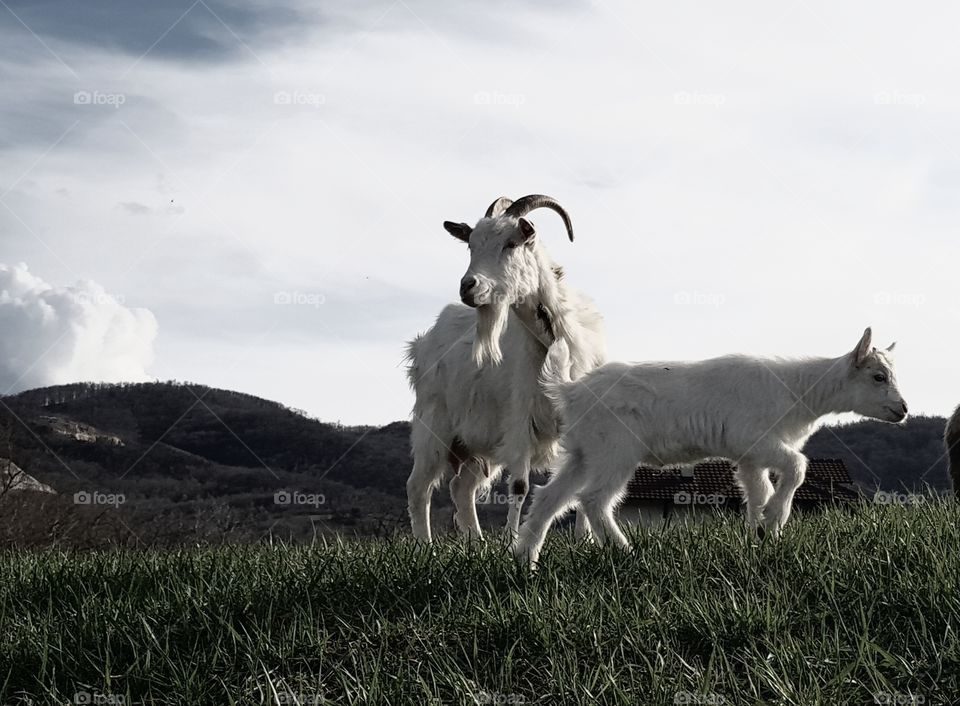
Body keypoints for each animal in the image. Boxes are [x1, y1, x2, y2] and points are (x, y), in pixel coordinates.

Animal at [406, 195, 606, 542]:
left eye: (511, 243)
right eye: (471, 245)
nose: (468, 286)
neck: (554, 339)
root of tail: (423, 343)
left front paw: (586, 540)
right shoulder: (519, 422)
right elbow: (519, 486)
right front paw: (512, 540)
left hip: (475, 441)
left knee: (461, 486)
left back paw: (476, 542)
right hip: (433, 425)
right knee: (419, 486)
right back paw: (425, 545)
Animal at [514, 327, 908, 565]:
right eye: (878, 377)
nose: (903, 410)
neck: (797, 389)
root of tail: (571, 390)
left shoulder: (749, 457)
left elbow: (758, 491)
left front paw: (763, 534)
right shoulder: (754, 438)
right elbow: (798, 466)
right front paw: (775, 517)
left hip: (583, 452)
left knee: (549, 498)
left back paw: (526, 561)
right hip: (615, 451)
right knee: (593, 499)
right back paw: (624, 550)